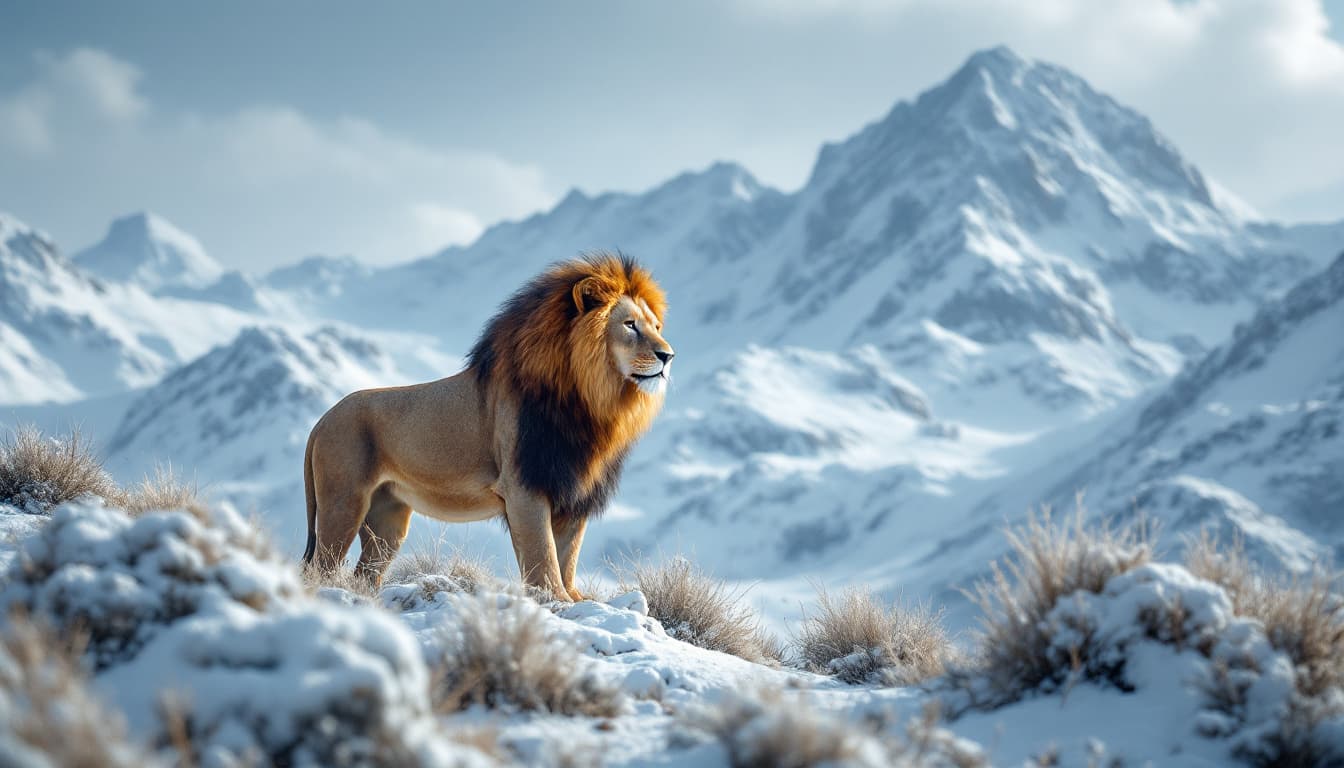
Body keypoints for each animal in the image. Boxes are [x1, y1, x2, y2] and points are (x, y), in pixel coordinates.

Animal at [301, 253, 674, 601]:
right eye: (630, 325)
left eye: (656, 327)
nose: (668, 356)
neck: (590, 401)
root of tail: (322, 420)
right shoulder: (524, 486)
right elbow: (543, 553)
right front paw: (556, 599)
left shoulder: (572, 490)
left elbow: (568, 554)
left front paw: (575, 598)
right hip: (343, 502)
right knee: (321, 568)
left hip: (388, 518)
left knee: (366, 572)